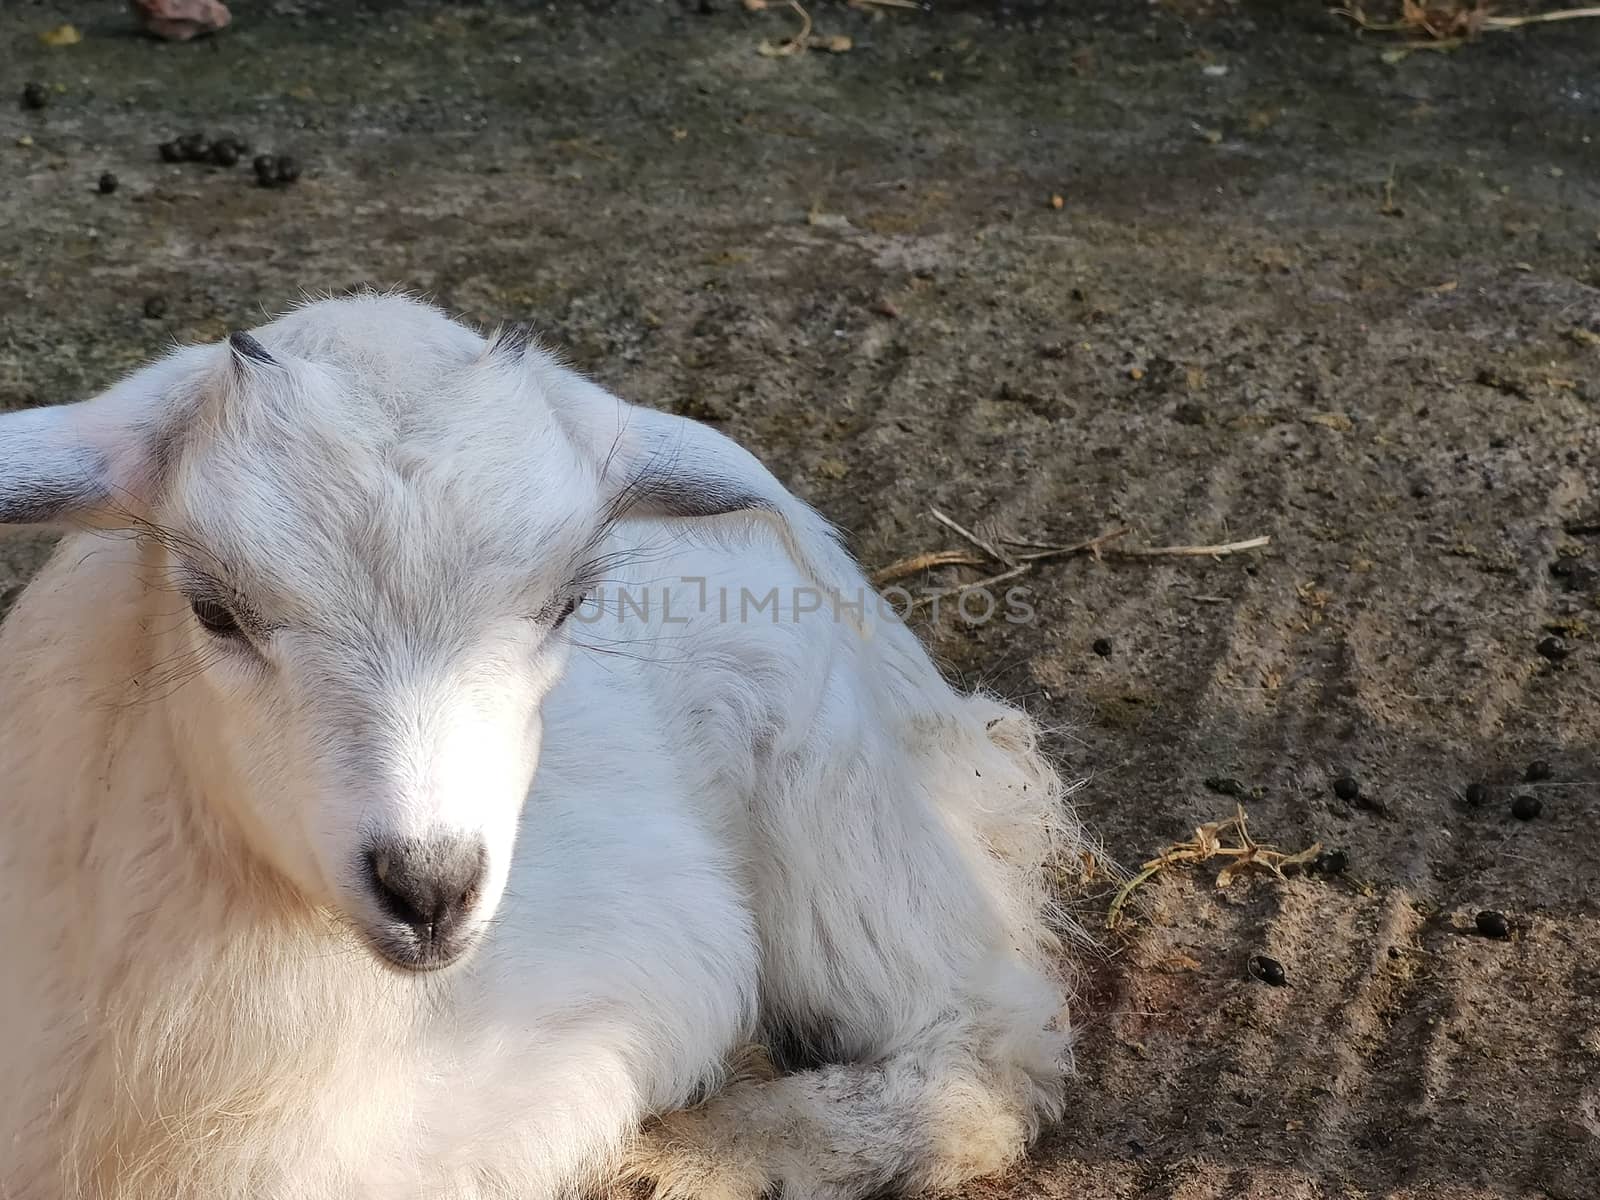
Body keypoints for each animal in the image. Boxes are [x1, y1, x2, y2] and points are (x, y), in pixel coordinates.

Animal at [0, 294, 1081, 1200]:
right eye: (214, 610)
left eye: (568, 604)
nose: (429, 886)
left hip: (836, 794)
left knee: (984, 1040)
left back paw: (701, 1157)